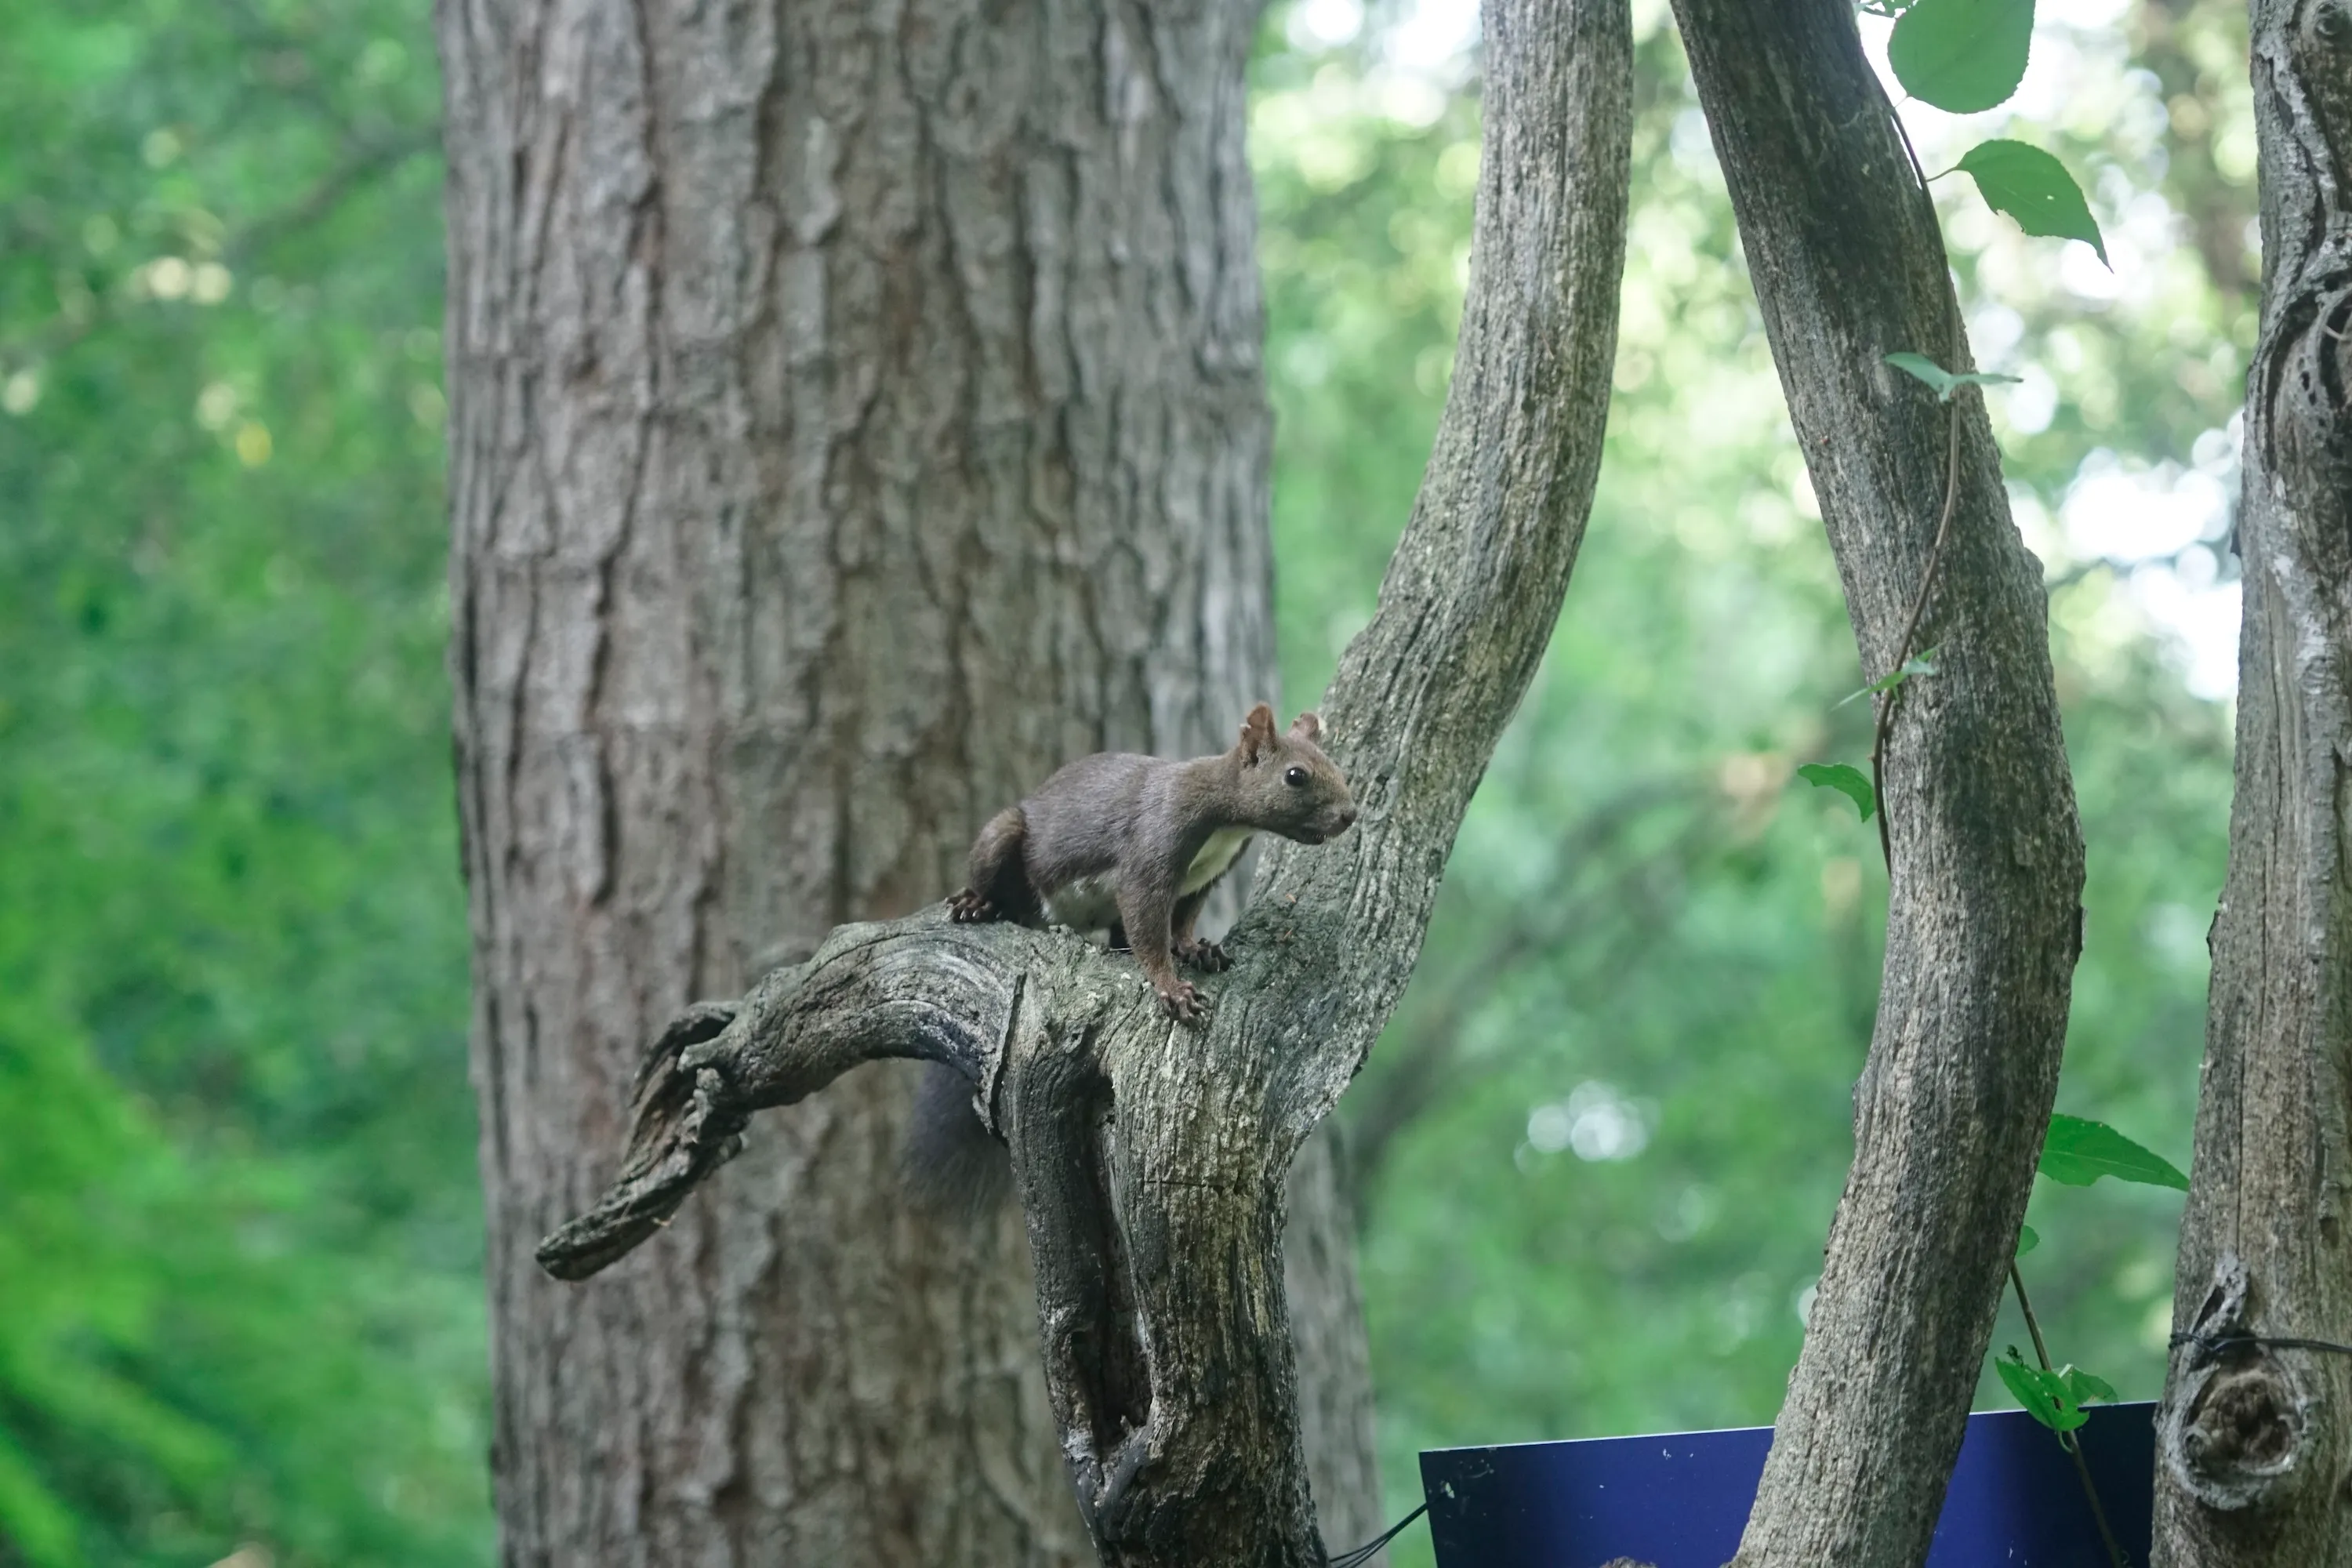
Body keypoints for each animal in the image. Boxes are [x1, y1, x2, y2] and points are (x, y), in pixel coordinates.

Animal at [902, 703, 1357, 1219]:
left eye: (1335, 763)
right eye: (1296, 776)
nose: (1350, 815)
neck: (1226, 822)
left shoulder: (1206, 878)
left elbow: (1181, 921)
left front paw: (1196, 949)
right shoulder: (1156, 846)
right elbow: (1147, 922)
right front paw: (1171, 987)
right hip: (1005, 837)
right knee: (996, 877)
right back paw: (978, 903)